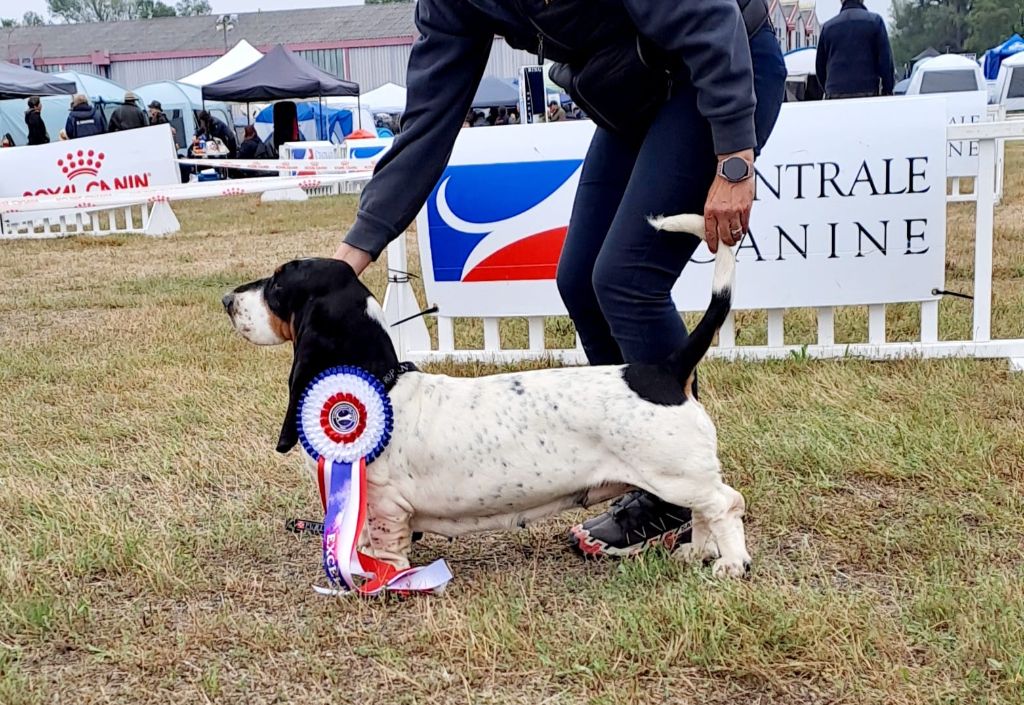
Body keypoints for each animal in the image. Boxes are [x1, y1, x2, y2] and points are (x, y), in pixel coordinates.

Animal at [222, 215, 753, 577]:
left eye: (278, 285)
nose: (227, 300)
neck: (383, 383)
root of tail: (666, 368)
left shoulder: (389, 504)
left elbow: (387, 544)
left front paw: (382, 576)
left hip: (674, 475)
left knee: (725, 503)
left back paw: (731, 564)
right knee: (705, 512)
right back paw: (698, 550)